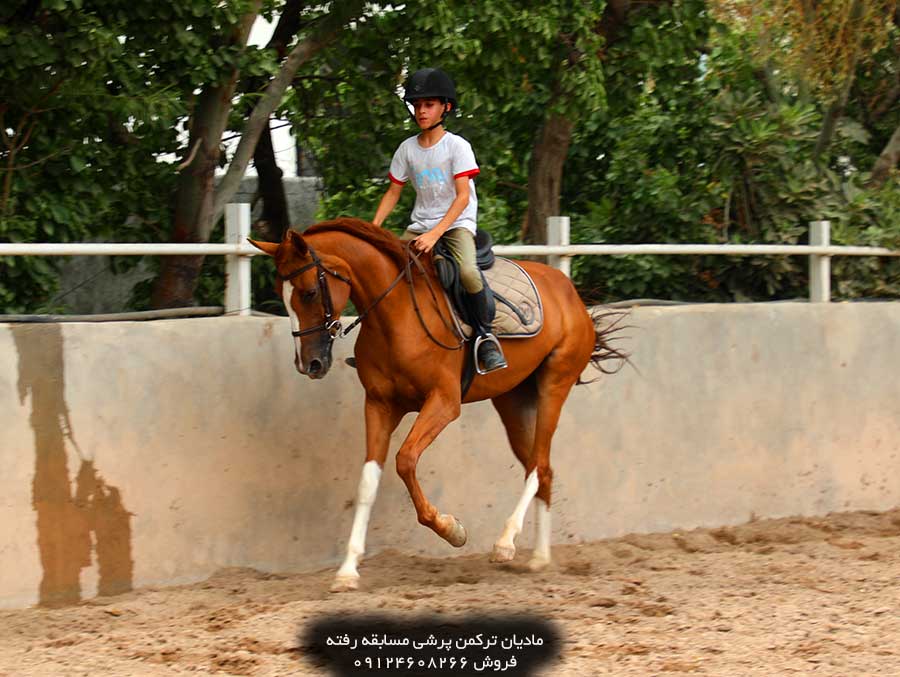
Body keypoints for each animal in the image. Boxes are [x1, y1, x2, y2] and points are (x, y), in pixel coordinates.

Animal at [250, 219, 624, 588]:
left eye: (309, 292)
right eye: (280, 295)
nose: (308, 364)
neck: (395, 315)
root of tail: (569, 292)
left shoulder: (444, 403)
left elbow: (405, 460)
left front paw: (451, 529)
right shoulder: (380, 405)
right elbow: (368, 481)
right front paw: (347, 570)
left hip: (553, 386)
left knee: (538, 464)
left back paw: (506, 543)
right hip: (513, 401)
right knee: (543, 467)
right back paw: (539, 559)